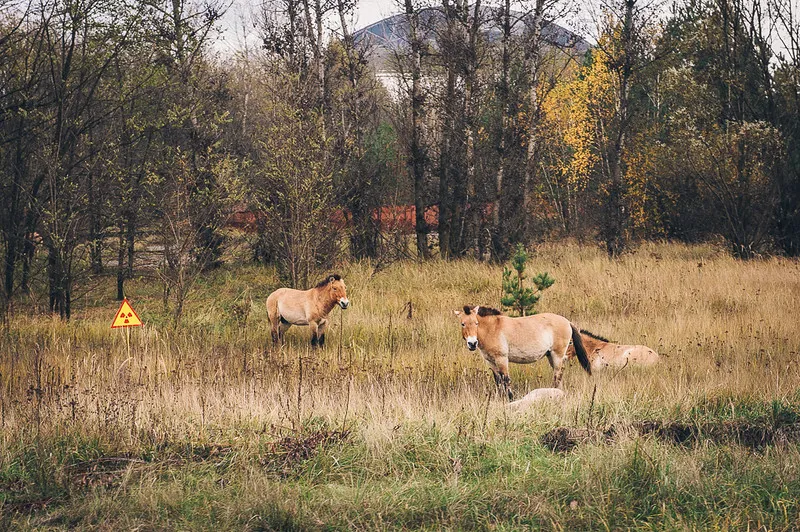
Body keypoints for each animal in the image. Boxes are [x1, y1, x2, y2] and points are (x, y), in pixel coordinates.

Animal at [454, 304, 592, 400]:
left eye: (476, 323)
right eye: (462, 324)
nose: (472, 343)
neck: (492, 329)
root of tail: (567, 322)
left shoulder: (502, 359)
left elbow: (506, 380)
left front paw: (510, 399)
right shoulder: (491, 362)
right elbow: (498, 382)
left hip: (557, 355)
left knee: (557, 375)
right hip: (550, 356)